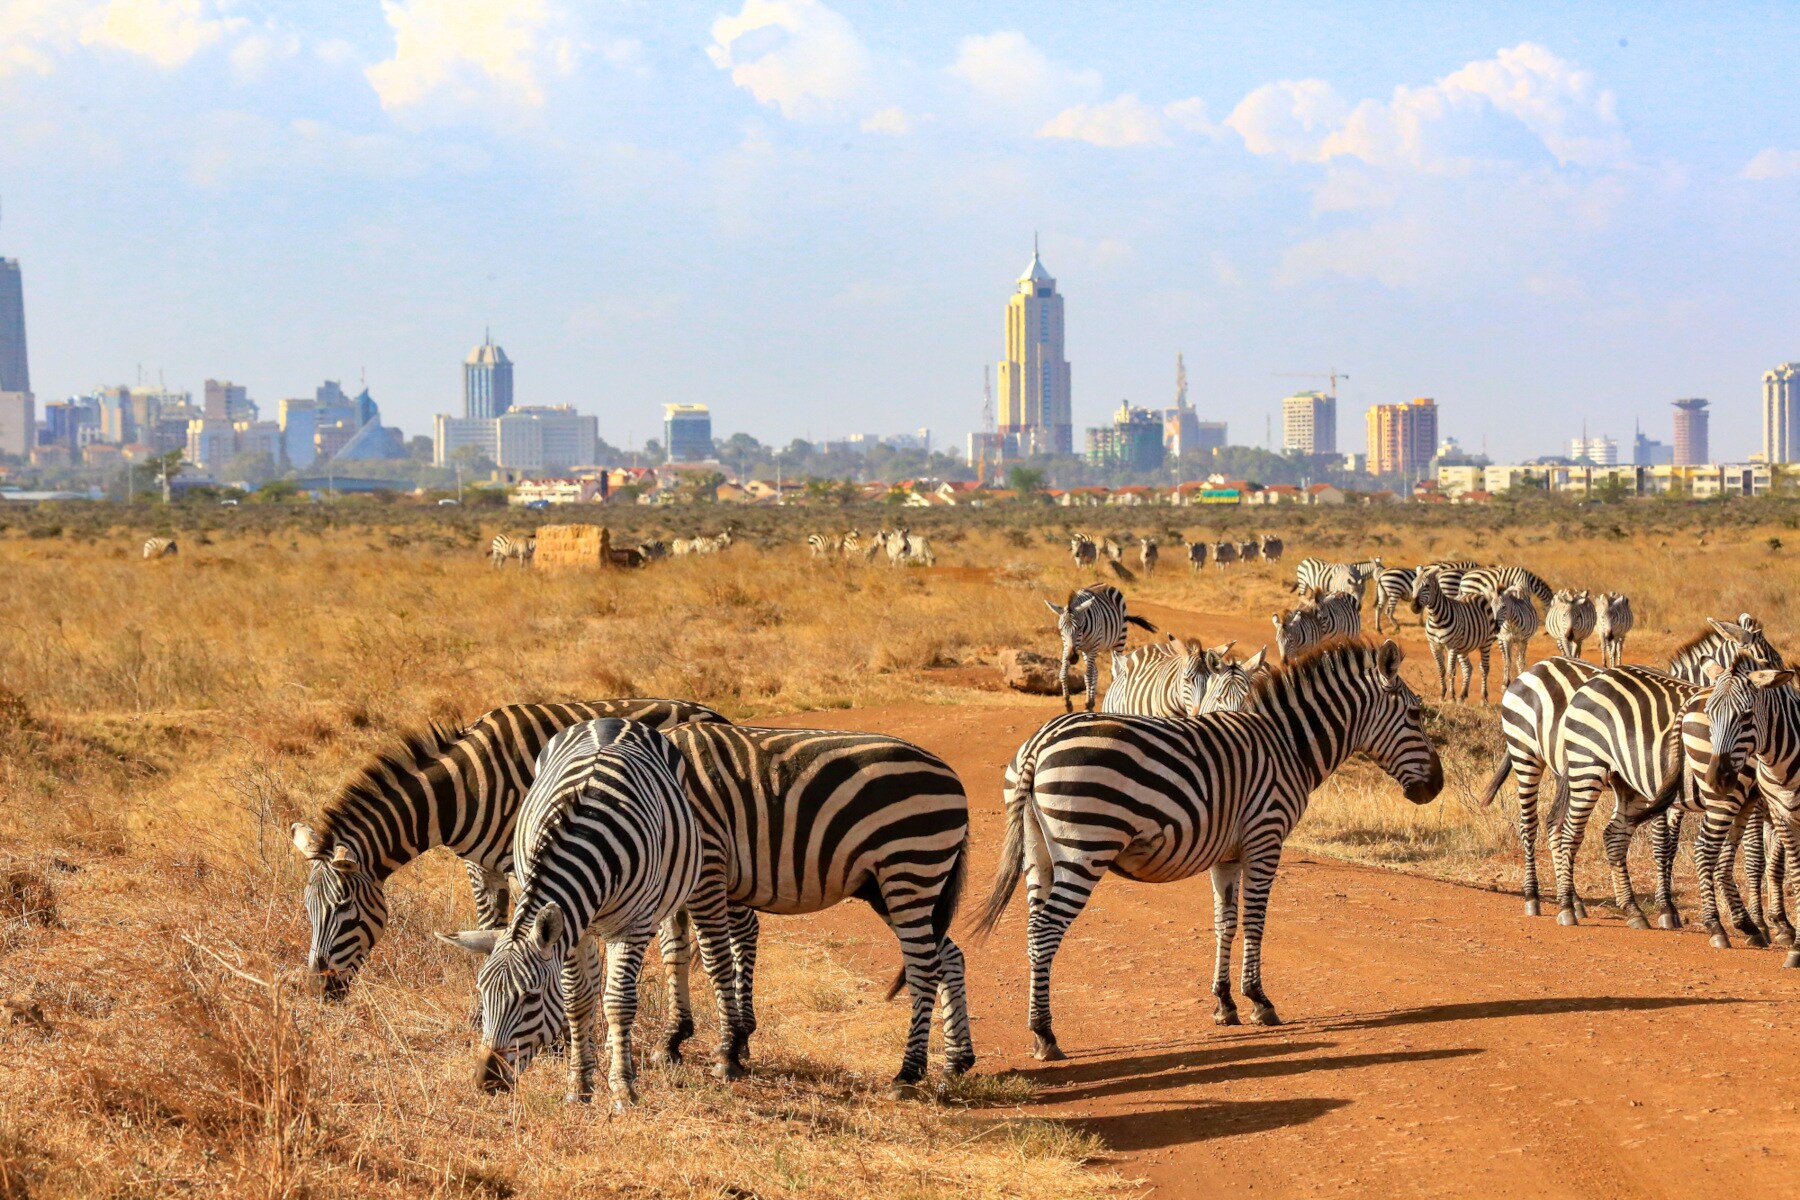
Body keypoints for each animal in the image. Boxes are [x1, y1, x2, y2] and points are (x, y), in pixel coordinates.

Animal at [290, 698, 729, 1000]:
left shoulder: (523, 866)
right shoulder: (480, 867)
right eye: (309, 909)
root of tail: (714, 714)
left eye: (343, 907)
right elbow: (489, 930)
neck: (461, 791)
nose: (317, 989)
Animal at [438, 719, 701, 1107]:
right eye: (482, 993)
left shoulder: (633, 926)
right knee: (592, 986)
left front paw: (623, 1088)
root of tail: (611, 721)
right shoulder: (572, 929)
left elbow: (619, 1002)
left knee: (669, 952)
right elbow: (577, 1000)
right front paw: (580, 1084)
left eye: (530, 997)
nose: (486, 1081)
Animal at [661, 723, 973, 1094]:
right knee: (949, 957)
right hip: (893, 887)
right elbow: (674, 956)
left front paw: (726, 1053)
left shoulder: (708, 867)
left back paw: (908, 1073)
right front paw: (672, 1040)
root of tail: (952, 776)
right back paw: (956, 1062)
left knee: (924, 967)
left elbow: (715, 962)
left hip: (910, 867)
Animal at [1045, 584, 1157, 713]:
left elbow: (1088, 675)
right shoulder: (1068, 647)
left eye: (1079, 627)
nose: (1072, 658)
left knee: (1115, 668)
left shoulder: (1092, 646)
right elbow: (1063, 673)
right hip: (1088, 650)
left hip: (1118, 641)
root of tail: (1106, 585)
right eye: (1060, 629)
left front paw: (1087, 704)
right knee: (1095, 671)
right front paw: (1068, 703)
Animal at [1414, 567, 1499, 703]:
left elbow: (1451, 671)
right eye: (1413, 585)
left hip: (1486, 642)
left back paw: (1483, 698)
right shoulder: (1434, 646)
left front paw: (1452, 696)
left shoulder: (1451, 646)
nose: (1414, 607)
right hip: (1463, 648)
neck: (1436, 619)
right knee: (1468, 668)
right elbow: (1441, 670)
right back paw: (1463, 695)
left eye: (1426, 586)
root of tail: (1474, 593)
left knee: (1484, 668)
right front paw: (1442, 695)